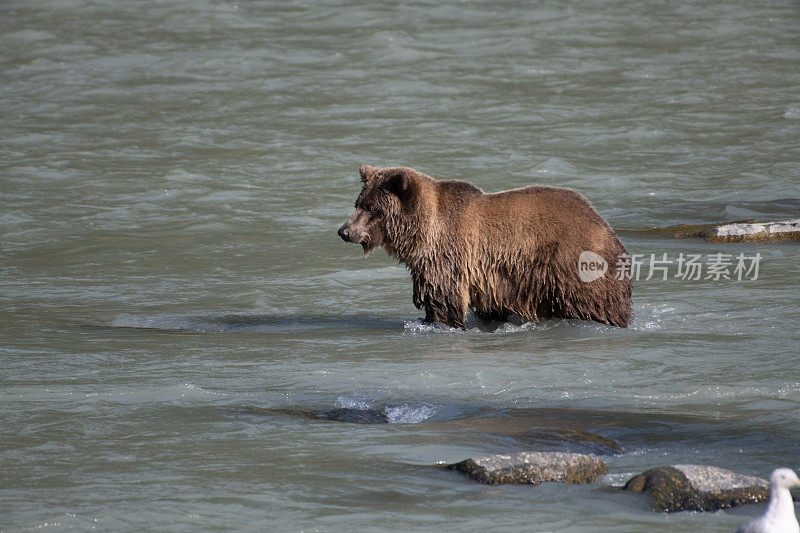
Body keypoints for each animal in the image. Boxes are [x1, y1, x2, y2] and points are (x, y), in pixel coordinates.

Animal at [338, 164, 632, 328]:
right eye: (358, 203)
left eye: (372, 208)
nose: (344, 231)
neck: (421, 233)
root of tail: (606, 227)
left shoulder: (447, 257)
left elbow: (443, 299)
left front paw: (436, 321)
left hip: (573, 267)